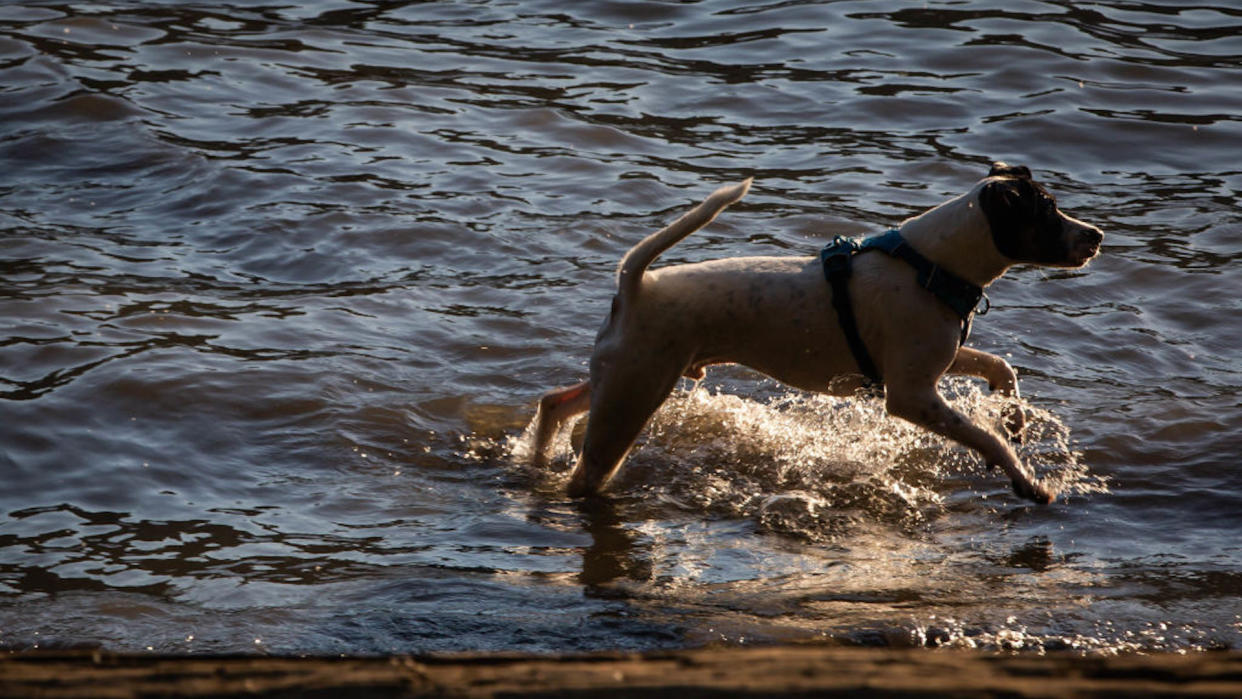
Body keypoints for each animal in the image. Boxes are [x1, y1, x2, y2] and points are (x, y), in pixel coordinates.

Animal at [529, 163, 1102, 504]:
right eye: (1047, 210)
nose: (1097, 236)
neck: (928, 264)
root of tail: (636, 286)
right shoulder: (912, 396)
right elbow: (985, 437)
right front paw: (1027, 480)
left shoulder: (933, 364)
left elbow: (1000, 368)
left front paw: (1015, 418)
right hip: (634, 396)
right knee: (585, 471)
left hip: (623, 377)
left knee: (555, 401)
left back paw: (537, 453)